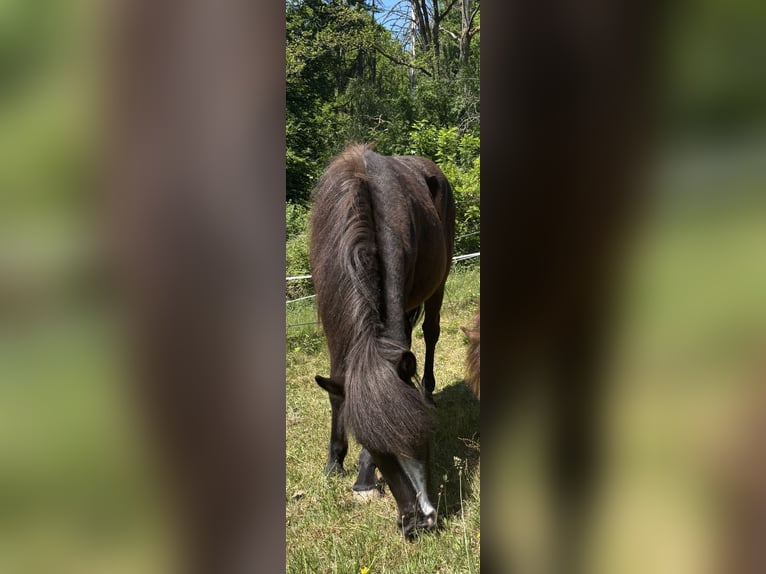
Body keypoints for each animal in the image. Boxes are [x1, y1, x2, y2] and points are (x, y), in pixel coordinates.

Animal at [309, 143, 456, 537]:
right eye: (374, 447)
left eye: (421, 435)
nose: (420, 521)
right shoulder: (333, 317)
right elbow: (338, 388)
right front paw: (334, 461)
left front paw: (362, 477)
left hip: (438, 282)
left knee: (430, 332)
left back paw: (428, 391)